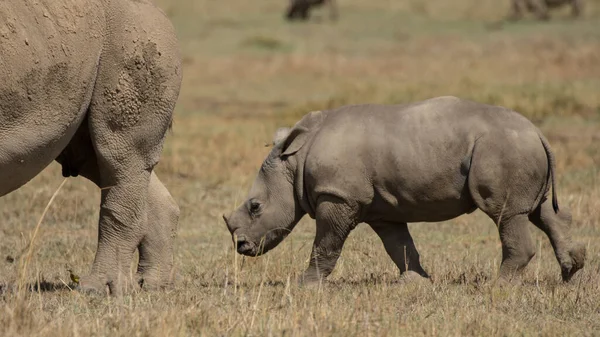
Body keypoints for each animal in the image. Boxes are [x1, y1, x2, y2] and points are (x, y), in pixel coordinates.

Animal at [0, 0, 183, 292]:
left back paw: (99, 288)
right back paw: (153, 285)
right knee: (98, 159)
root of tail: (159, 11)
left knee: (119, 157)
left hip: (133, 36)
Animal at [224, 96, 584, 284]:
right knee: (541, 212)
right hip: (518, 148)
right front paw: (415, 282)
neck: (295, 161)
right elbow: (399, 246)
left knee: (507, 213)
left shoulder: (337, 195)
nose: (242, 247)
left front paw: (305, 285)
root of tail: (537, 132)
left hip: (503, 148)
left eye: (255, 206)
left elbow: (326, 243)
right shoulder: (381, 207)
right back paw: (571, 273)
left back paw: (497, 286)